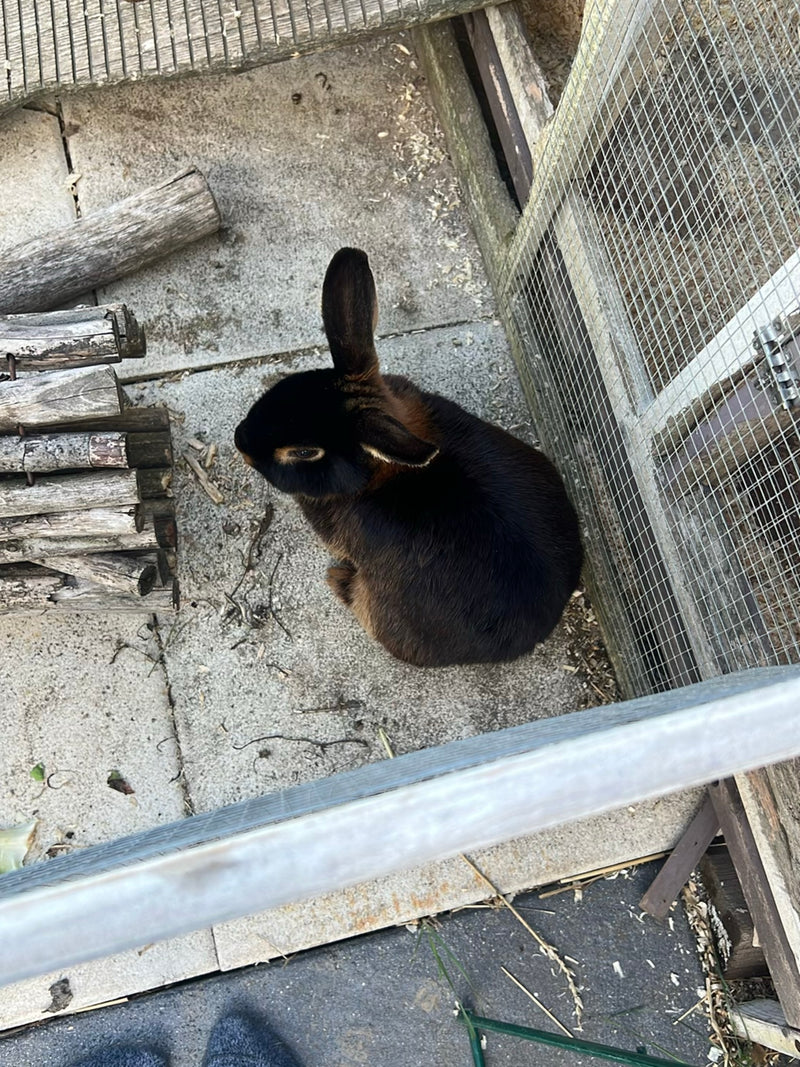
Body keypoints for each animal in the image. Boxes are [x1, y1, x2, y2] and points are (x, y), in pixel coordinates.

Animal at [234, 247, 583, 667]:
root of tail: (531, 637)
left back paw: (337, 579)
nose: (240, 443)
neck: (374, 475)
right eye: (290, 385)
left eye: (304, 452)